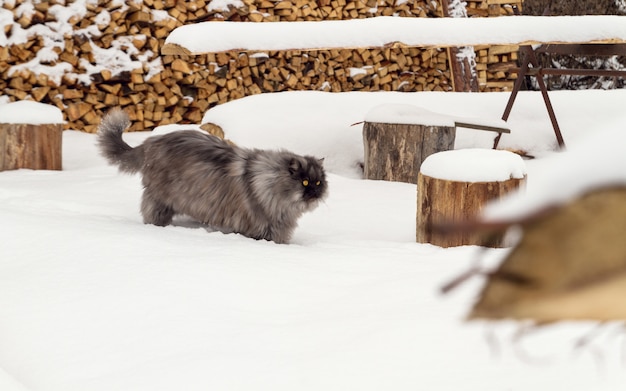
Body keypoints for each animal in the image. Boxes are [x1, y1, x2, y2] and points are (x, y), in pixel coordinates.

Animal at [97, 108, 326, 243]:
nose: (315, 193)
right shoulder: (261, 227)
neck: (269, 184)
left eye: (318, 182)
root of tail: (150, 142)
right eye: (305, 182)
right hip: (160, 199)